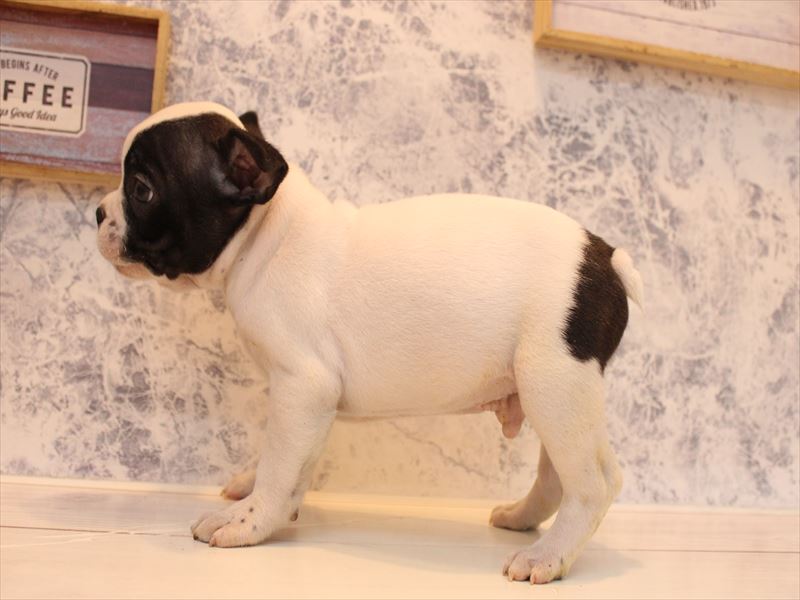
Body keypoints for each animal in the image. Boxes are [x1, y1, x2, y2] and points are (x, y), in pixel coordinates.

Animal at [96, 102, 642, 584]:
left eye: (141, 189)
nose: (97, 213)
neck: (266, 237)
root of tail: (607, 257)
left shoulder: (303, 386)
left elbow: (280, 463)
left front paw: (250, 520)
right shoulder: (308, 402)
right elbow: (292, 462)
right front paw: (259, 495)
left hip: (555, 383)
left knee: (594, 483)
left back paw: (547, 556)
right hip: (556, 392)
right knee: (558, 475)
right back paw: (523, 520)